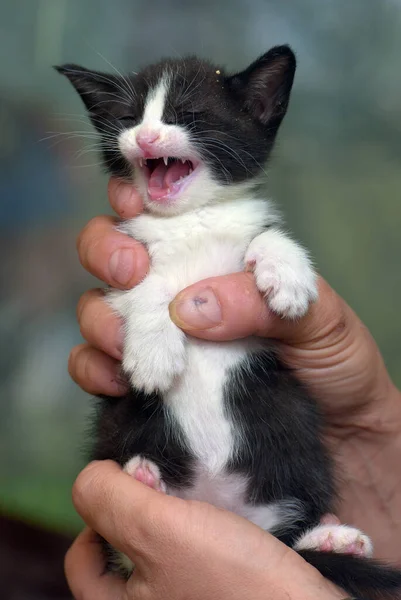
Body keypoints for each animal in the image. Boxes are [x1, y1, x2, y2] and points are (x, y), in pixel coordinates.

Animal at [56, 48, 400, 600]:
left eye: (187, 115)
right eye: (129, 118)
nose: (146, 138)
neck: (189, 221)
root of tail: (219, 502)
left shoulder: (245, 230)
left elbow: (265, 236)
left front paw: (289, 275)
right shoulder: (119, 264)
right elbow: (142, 282)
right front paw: (154, 353)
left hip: (294, 450)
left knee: (285, 536)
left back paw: (333, 539)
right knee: (124, 552)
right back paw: (144, 477)